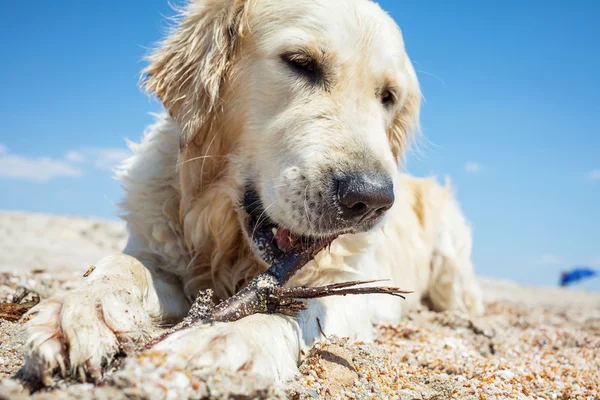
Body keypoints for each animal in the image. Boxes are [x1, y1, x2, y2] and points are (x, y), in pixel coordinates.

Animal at [22, 0, 482, 386]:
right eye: (301, 63)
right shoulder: (160, 250)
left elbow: (304, 307)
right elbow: (121, 265)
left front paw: (229, 341)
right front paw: (81, 311)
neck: (229, 246)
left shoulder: (352, 290)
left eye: (388, 96)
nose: (370, 199)